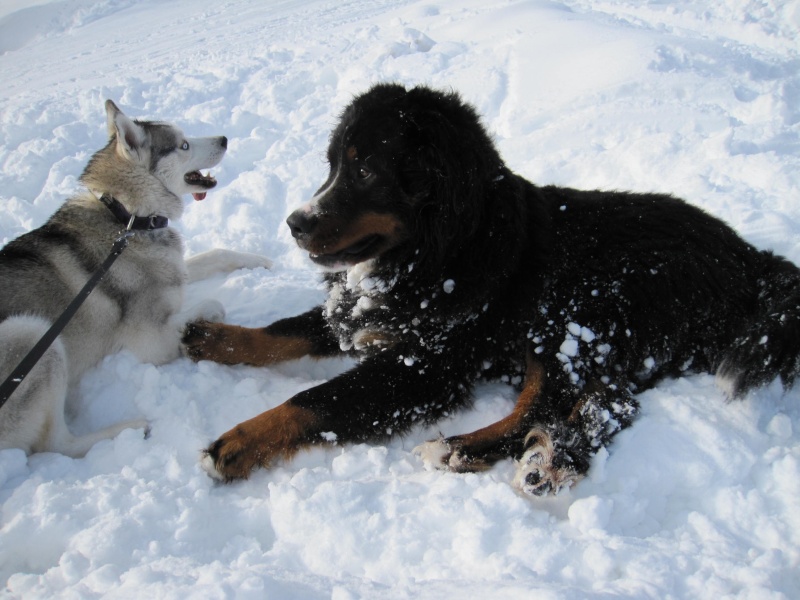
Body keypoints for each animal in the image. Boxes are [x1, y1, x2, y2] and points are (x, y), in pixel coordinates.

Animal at [0, 101, 270, 458]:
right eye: (183, 145)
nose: (224, 139)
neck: (126, 219)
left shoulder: (175, 268)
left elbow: (217, 253)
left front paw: (259, 261)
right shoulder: (150, 342)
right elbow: (210, 303)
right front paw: (206, 324)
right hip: (30, 334)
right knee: (55, 444)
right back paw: (129, 428)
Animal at [183, 84, 800, 496]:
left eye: (365, 171)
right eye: (332, 165)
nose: (295, 222)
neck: (442, 252)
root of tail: (752, 260)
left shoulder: (425, 366)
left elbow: (317, 399)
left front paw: (235, 443)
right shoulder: (364, 313)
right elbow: (284, 331)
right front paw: (213, 337)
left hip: (578, 312)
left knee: (544, 405)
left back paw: (459, 449)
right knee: (608, 405)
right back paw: (545, 461)